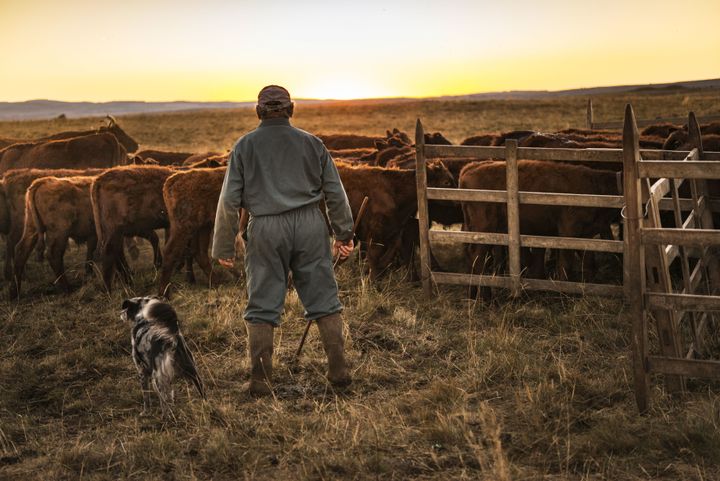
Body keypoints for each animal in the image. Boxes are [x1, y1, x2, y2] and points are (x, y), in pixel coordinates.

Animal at [462, 159, 620, 298]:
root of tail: (471, 167)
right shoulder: (568, 229)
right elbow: (566, 263)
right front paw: (563, 293)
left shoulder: (586, 235)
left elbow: (589, 262)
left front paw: (587, 289)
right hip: (485, 229)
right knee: (478, 258)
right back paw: (485, 297)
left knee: (473, 257)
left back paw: (473, 294)